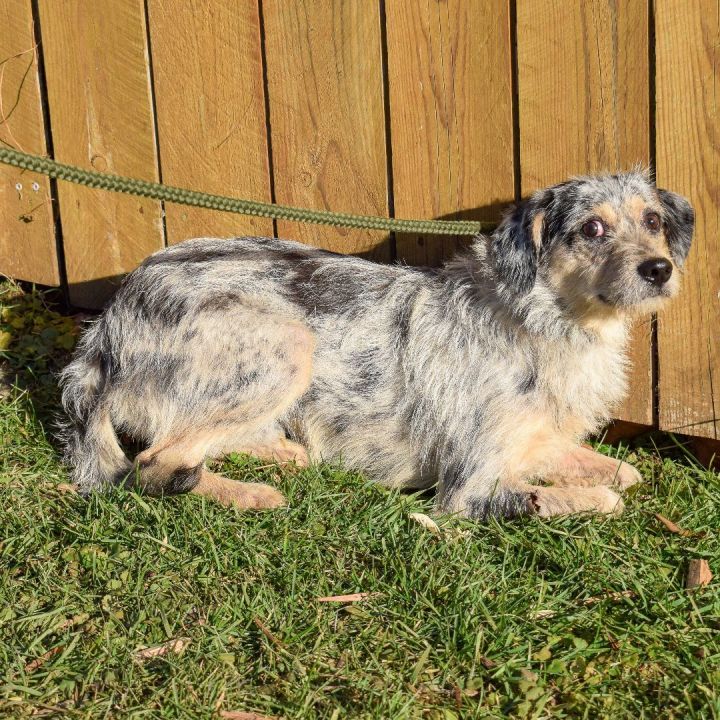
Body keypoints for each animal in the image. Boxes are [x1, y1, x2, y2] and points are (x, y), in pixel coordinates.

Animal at [59, 172, 696, 520]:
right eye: (591, 228)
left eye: (653, 220)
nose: (659, 269)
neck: (544, 320)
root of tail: (107, 323)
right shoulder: (468, 489)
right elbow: (603, 499)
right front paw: (568, 501)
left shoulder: (537, 442)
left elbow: (624, 474)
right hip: (288, 342)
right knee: (156, 463)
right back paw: (251, 493)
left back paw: (280, 452)